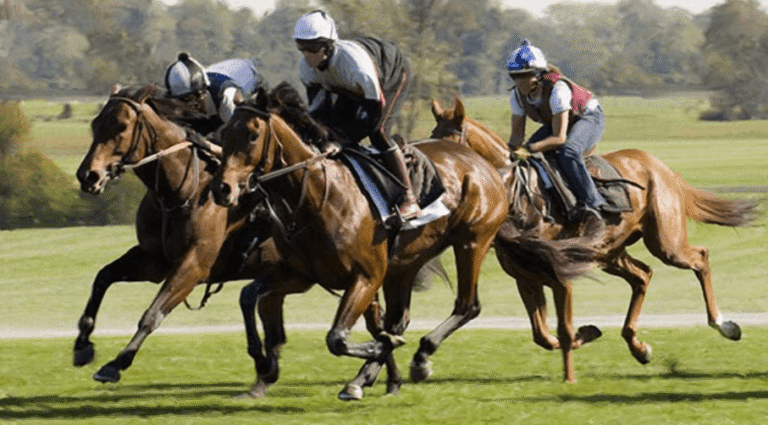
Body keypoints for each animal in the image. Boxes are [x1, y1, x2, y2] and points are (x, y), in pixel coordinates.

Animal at [74, 85, 402, 387]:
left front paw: (115, 364)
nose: (87, 176)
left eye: (121, 126)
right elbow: (103, 277)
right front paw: (82, 345)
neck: (180, 189)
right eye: (95, 124)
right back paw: (383, 374)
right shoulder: (155, 261)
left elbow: (152, 314)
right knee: (372, 320)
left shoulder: (193, 265)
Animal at [429, 96, 761, 383]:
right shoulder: (526, 277)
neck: (518, 195)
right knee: (642, 275)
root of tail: (660, 167)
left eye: (447, 141)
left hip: (666, 242)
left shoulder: (560, 274)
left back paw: (724, 325)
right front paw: (586, 334)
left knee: (699, 258)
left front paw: (569, 376)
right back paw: (638, 347)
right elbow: (542, 334)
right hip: (608, 252)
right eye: (432, 136)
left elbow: (562, 329)